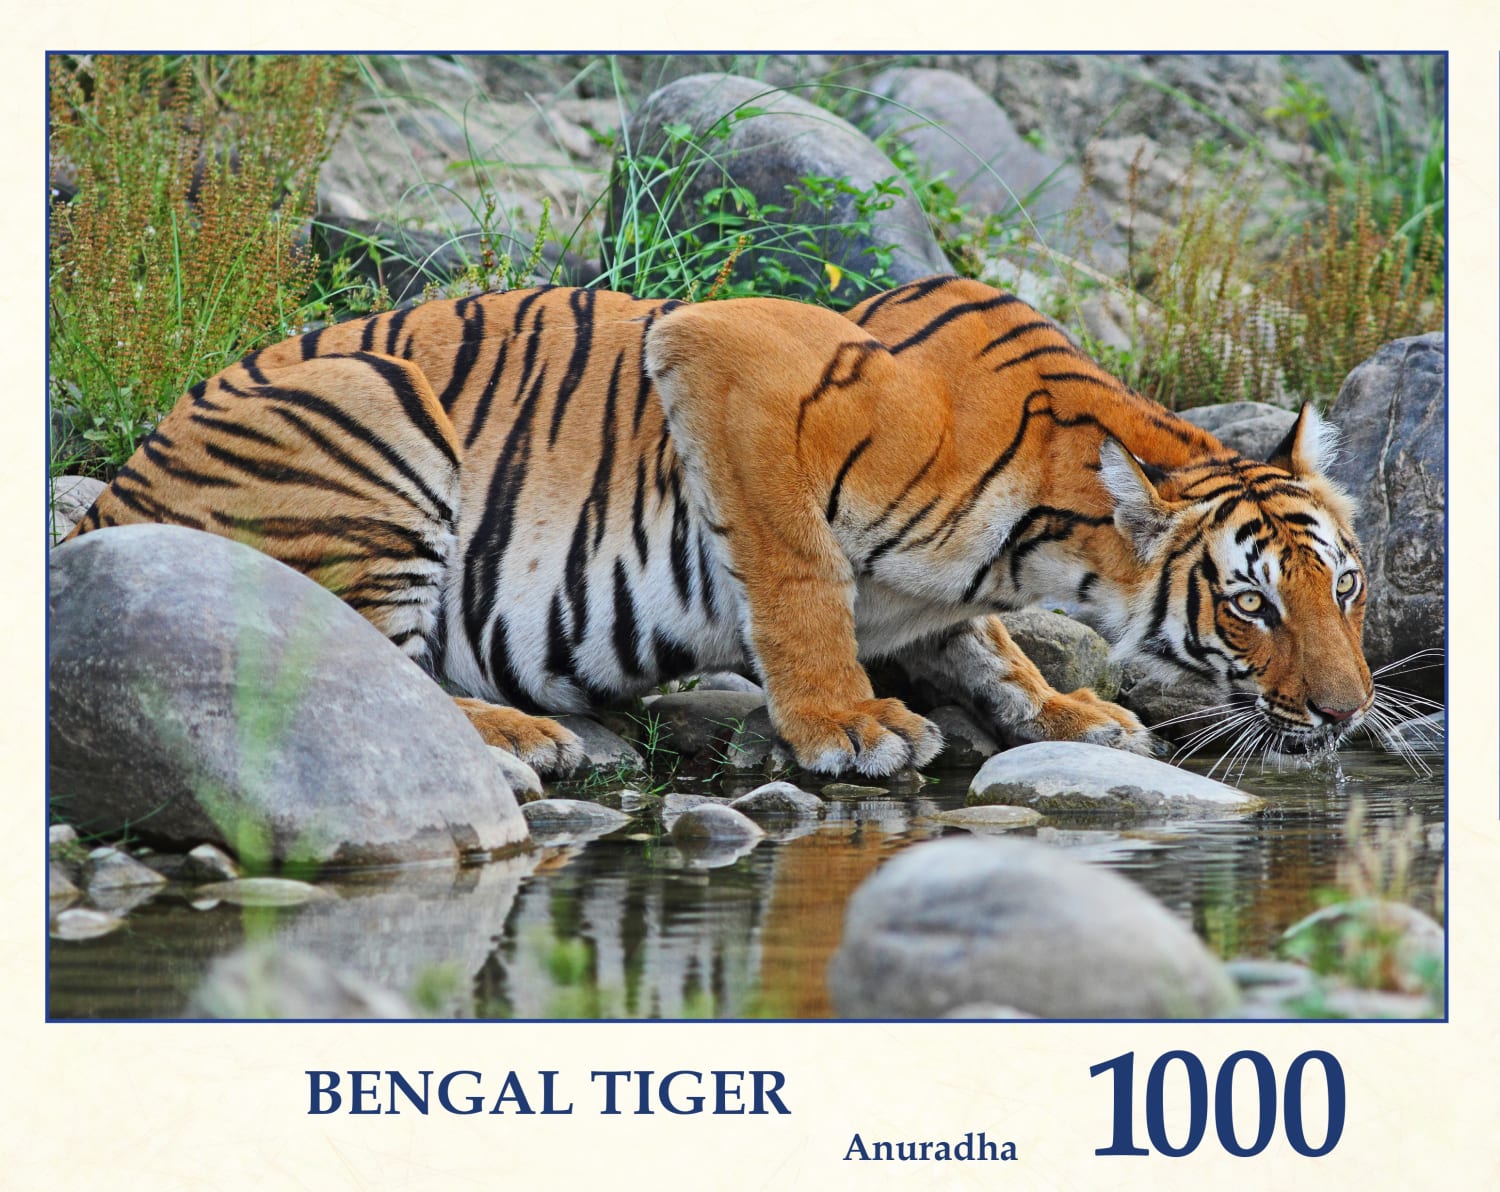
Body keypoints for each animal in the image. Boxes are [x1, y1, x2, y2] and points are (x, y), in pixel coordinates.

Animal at [65, 275, 1374, 778]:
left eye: (1346, 590)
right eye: (1251, 604)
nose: (1350, 712)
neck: (1044, 540)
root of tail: (113, 501)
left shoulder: (950, 600)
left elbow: (988, 647)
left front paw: (1068, 710)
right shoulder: (726, 358)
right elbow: (798, 579)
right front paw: (850, 724)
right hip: (369, 405)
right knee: (371, 673)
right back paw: (523, 735)